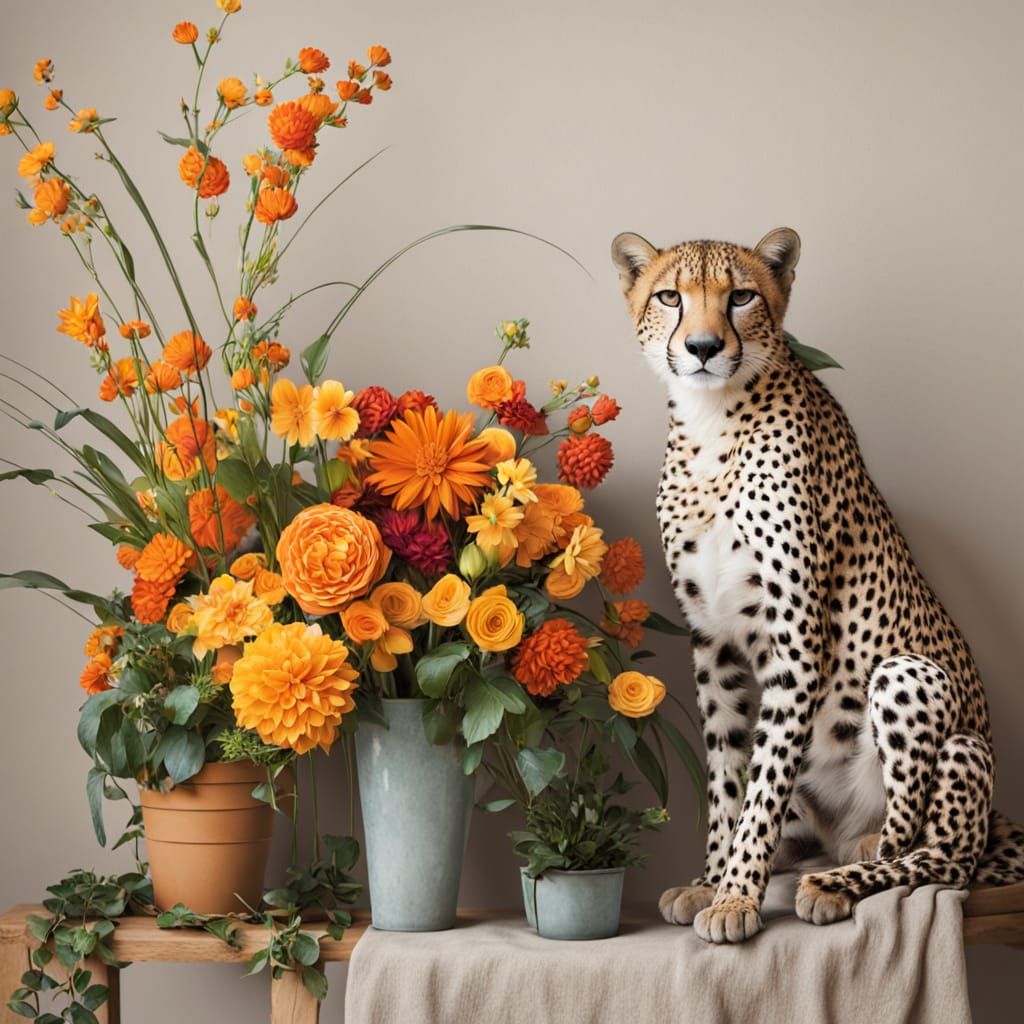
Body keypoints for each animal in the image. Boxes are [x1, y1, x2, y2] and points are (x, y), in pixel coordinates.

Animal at [610, 226, 1024, 944]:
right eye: (669, 297)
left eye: (741, 296)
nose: (703, 347)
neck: (711, 424)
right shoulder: (712, 644)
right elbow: (728, 781)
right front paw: (713, 881)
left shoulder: (797, 642)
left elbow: (764, 785)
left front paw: (736, 899)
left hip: (918, 687)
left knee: (930, 855)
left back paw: (837, 881)